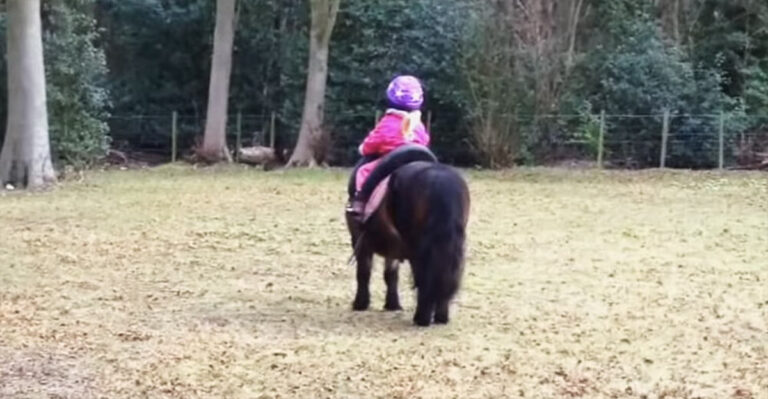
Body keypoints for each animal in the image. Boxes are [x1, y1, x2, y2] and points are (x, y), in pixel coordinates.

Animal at [346, 147, 468, 328]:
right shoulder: (393, 246)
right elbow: (391, 274)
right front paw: (392, 304)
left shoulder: (360, 241)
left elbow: (364, 272)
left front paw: (360, 303)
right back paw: (440, 317)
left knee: (423, 274)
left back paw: (421, 318)